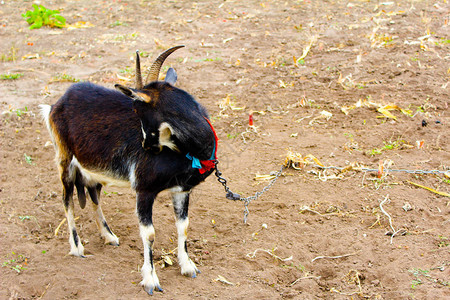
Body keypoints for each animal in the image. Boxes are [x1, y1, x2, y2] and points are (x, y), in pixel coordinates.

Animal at [40, 45, 218, 294]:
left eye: (138, 111)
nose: (146, 146)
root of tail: (57, 103)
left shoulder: (182, 189)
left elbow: (183, 226)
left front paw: (188, 267)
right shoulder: (144, 189)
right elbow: (149, 234)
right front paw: (151, 280)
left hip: (93, 168)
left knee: (93, 195)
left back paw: (108, 236)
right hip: (65, 159)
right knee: (67, 200)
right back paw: (77, 248)